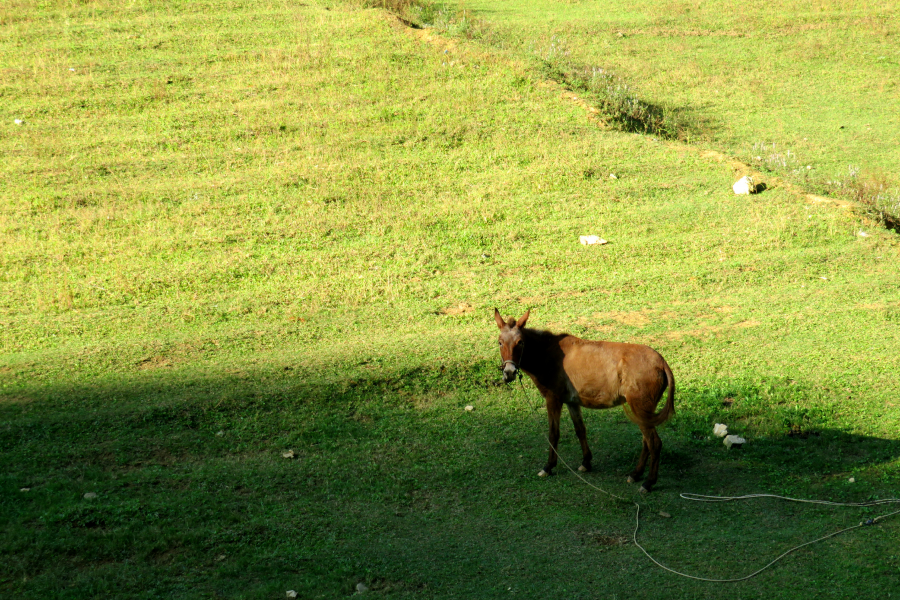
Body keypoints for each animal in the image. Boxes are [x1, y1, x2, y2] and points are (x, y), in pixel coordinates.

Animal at [500, 310, 676, 492]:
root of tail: (661, 362)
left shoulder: (553, 399)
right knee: (646, 442)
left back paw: (648, 482)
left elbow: (553, 433)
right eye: (500, 342)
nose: (509, 373)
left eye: (520, 342)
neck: (549, 353)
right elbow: (580, 430)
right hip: (644, 412)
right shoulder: (572, 402)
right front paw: (586, 462)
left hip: (640, 409)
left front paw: (548, 467)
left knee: (654, 443)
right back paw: (635, 474)